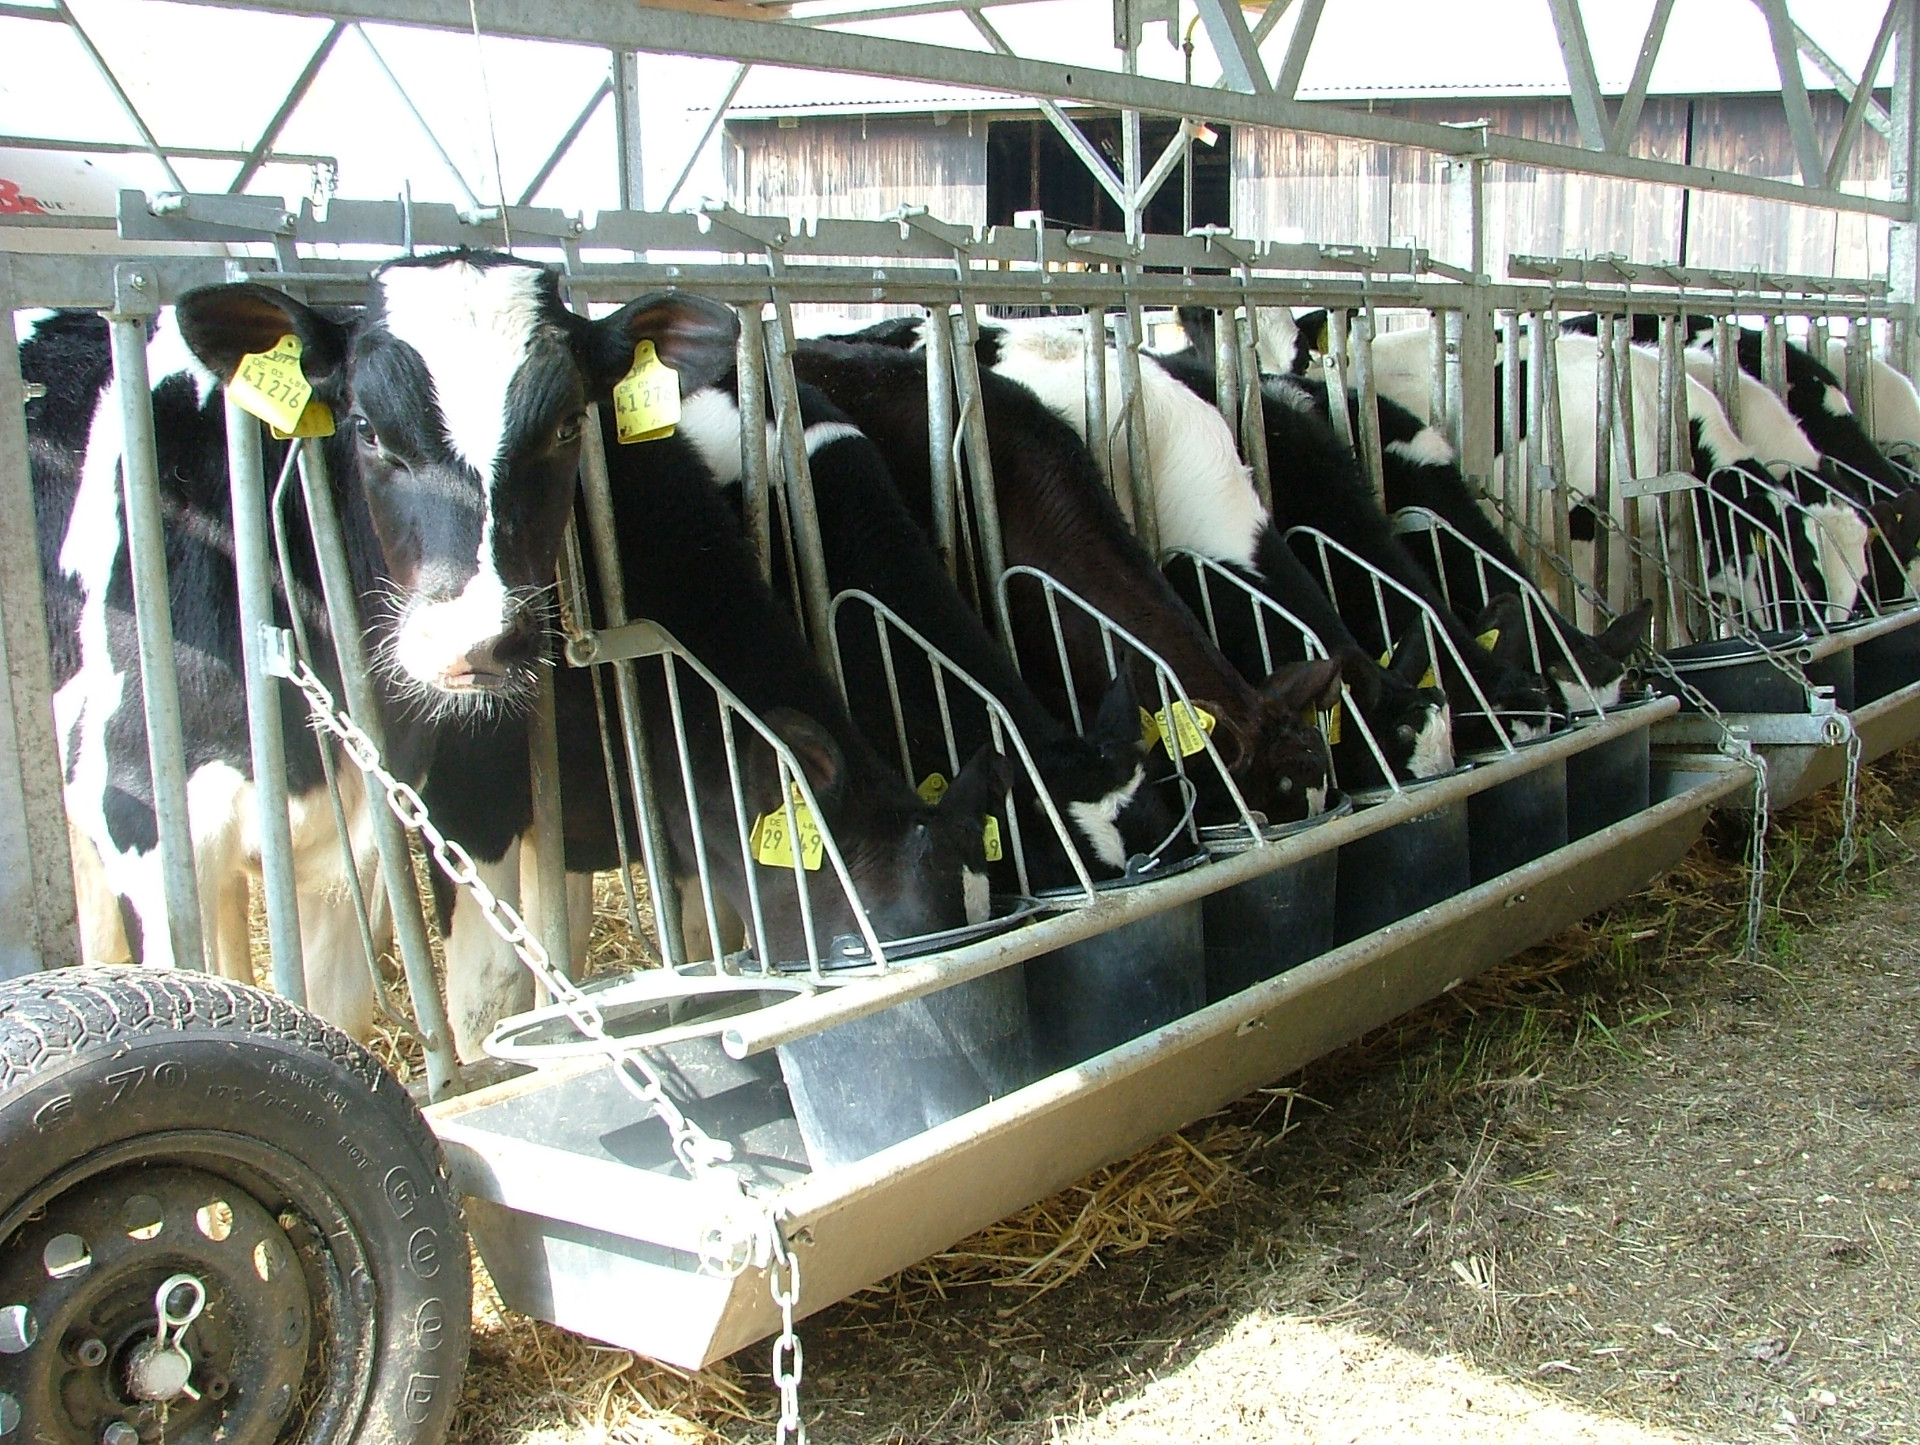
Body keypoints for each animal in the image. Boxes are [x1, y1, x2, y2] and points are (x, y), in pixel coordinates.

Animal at [22, 253, 741, 1051]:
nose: (475, 639)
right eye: (365, 428)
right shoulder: (145, 825)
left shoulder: (361, 831)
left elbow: (352, 1006)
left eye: (567, 423)